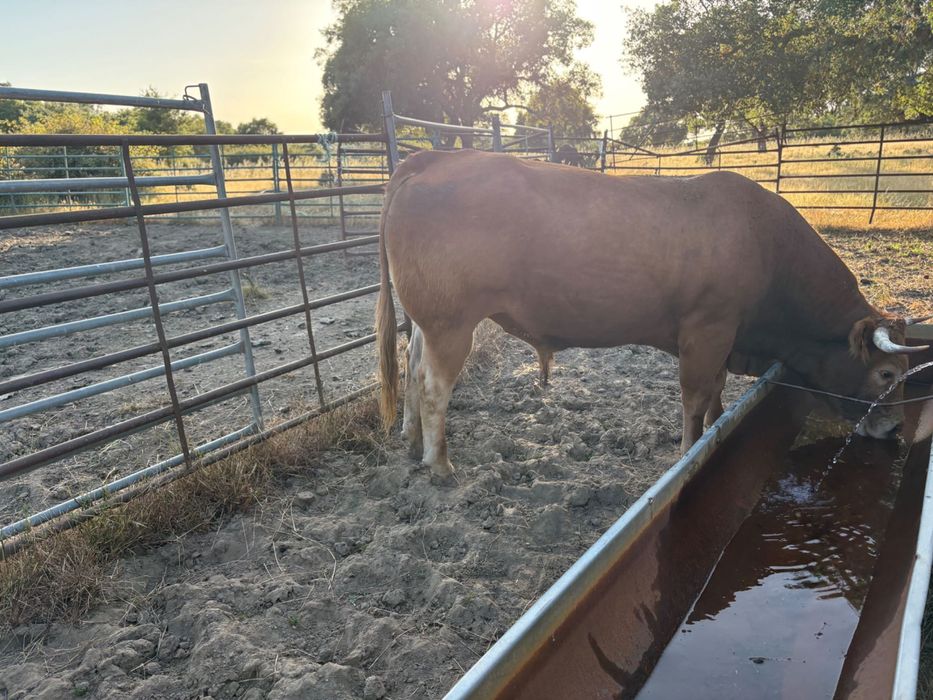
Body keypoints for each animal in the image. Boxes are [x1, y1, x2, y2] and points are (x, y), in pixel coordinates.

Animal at [375, 149, 928, 477]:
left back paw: (410, 440)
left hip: (429, 322)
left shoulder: (723, 338)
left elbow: (714, 393)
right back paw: (439, 464)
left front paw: (717, 422)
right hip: (451, 323)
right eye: (886, 373)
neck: (766, 245)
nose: (893, 431)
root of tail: (433, 159)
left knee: (412, 365)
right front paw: (688, 450)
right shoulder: (707, 329)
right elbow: (694, 396)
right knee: (433, 386)